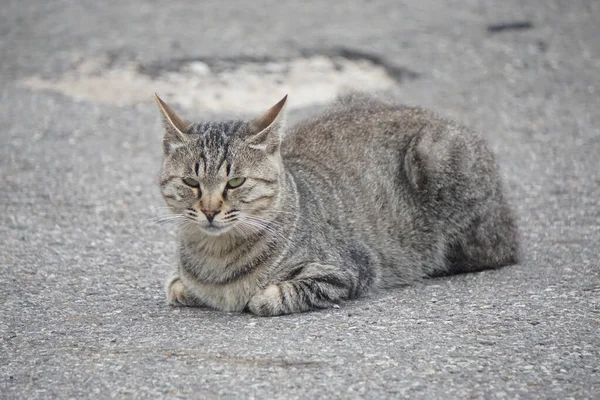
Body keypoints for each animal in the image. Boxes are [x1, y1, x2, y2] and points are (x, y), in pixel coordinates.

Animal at [157, 94, 516, 316]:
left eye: (235, 182)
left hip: (435, 160)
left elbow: (275, 295)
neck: (216, 257)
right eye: (191, 183)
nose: (209, 210)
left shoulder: (351, 268)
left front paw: (257, 296)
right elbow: (177, 285)